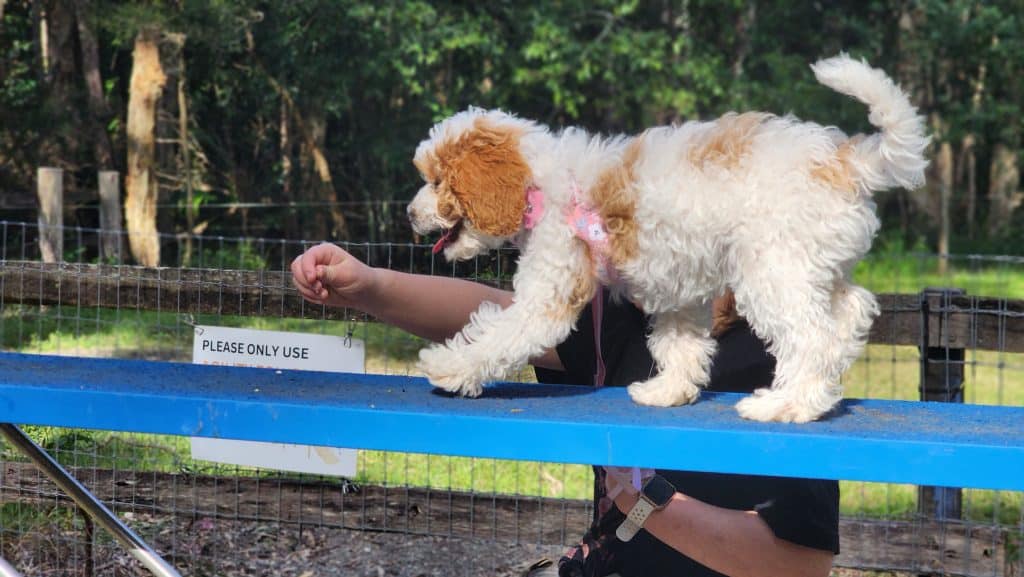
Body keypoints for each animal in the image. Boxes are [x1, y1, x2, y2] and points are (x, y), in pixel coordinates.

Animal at [405, 55, 929, 424]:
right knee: (851, 309)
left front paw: (447, 366)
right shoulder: (678, 289)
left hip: (774, 270)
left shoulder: (549, 292)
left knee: (810, 334)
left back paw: (787, 405)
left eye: (436, 181)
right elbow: (679, 343)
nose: (409, 214)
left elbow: (501, 333)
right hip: (813, 263)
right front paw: (669, 391)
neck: (544, 182)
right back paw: (820, 391)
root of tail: (846, 162)